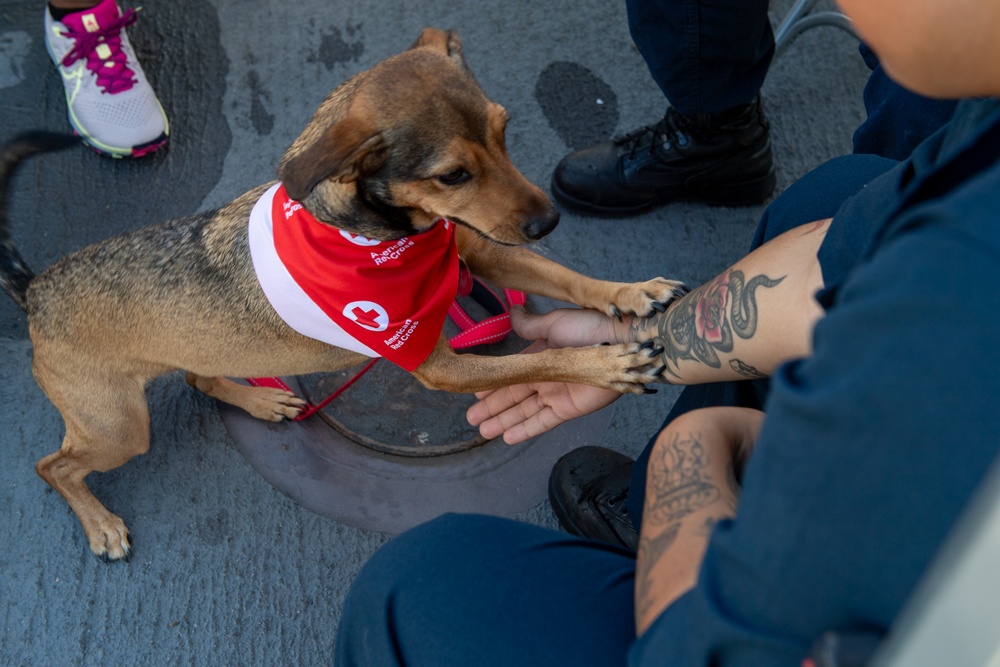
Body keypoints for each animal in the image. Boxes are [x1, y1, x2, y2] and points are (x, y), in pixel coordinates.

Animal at [0, 30, 684, 564]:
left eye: (505, 129)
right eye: (452, 175)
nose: (548, 220)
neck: (388, 239)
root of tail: (36, 290)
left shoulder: (479, 253)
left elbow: (567, 279)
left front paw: (633, 293)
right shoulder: (436, 362)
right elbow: (540, 359)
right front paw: (606, 364)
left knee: (197, 378)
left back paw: (260, 401)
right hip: (118, 426)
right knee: (53, 466)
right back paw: (100, 523)